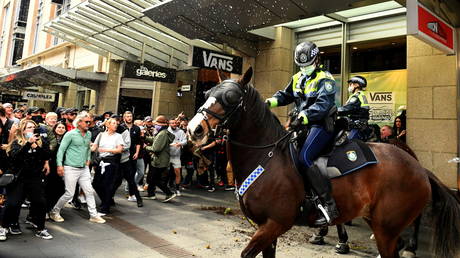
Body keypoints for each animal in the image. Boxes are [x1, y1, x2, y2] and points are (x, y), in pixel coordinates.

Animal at [187, 67, 460, 258]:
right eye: (207, 94)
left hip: (387, 229)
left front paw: (336, 240)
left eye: (231, 97)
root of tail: (419, 168)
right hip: (380, 223)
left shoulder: (275, 223)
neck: (267, 158)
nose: (194, 130)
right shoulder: (267, 229)